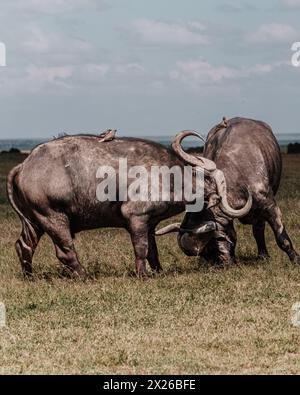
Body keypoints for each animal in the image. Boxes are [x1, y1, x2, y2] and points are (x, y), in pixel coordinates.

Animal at [158, 117, 298, 266]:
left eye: (210, 244)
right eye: (203, 253)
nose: (219, 263)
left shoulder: (270, 205)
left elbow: (281, 237)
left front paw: (295, 259)